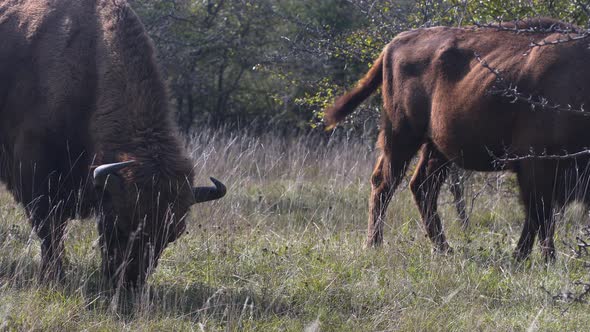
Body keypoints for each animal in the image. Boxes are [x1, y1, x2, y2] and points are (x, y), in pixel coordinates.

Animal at [0, 0, 227, 286]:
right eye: (118, 225)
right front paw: (55, 275)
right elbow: (49, 229)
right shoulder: (36, 176)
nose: (129, 282)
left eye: (171, 235)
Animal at [326, 18, 590, 260]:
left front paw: (527, 257)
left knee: (422, 186)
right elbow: (540, 216)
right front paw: (540, 259)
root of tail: (393, 44)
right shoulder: (536, 165)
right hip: (402, 136)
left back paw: (443, 248)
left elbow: (538, 217)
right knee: (384, 182)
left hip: (437, 148)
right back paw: (374, 244)